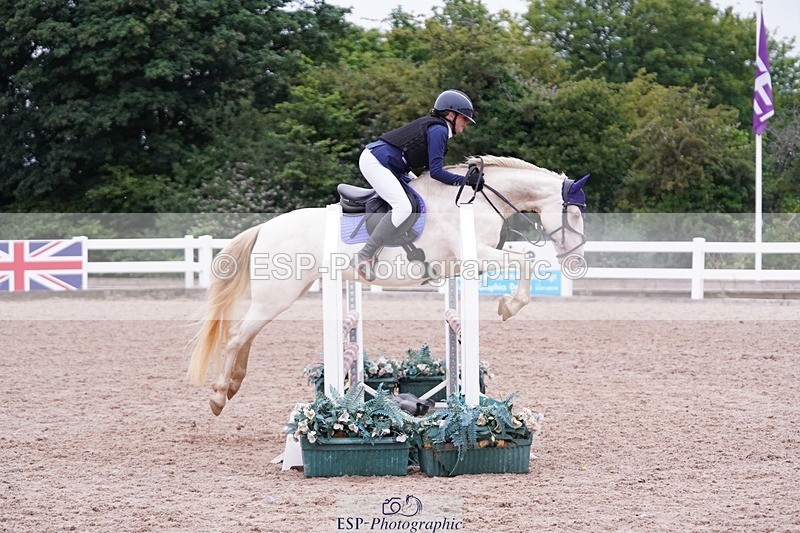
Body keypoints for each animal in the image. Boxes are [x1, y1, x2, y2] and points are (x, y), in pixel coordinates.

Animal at [187, 155, 589, 415]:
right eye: (572, 213)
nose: (577, 262)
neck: (477, 202)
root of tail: (264, 228)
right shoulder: (475, 254)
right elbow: (526, 261)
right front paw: (508, 306)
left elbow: (522, 261)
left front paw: (508, 305)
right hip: (278, 294)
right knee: (237, 336)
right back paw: (219, 396)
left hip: (284, 294)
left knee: (246, 334)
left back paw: (233, 384)